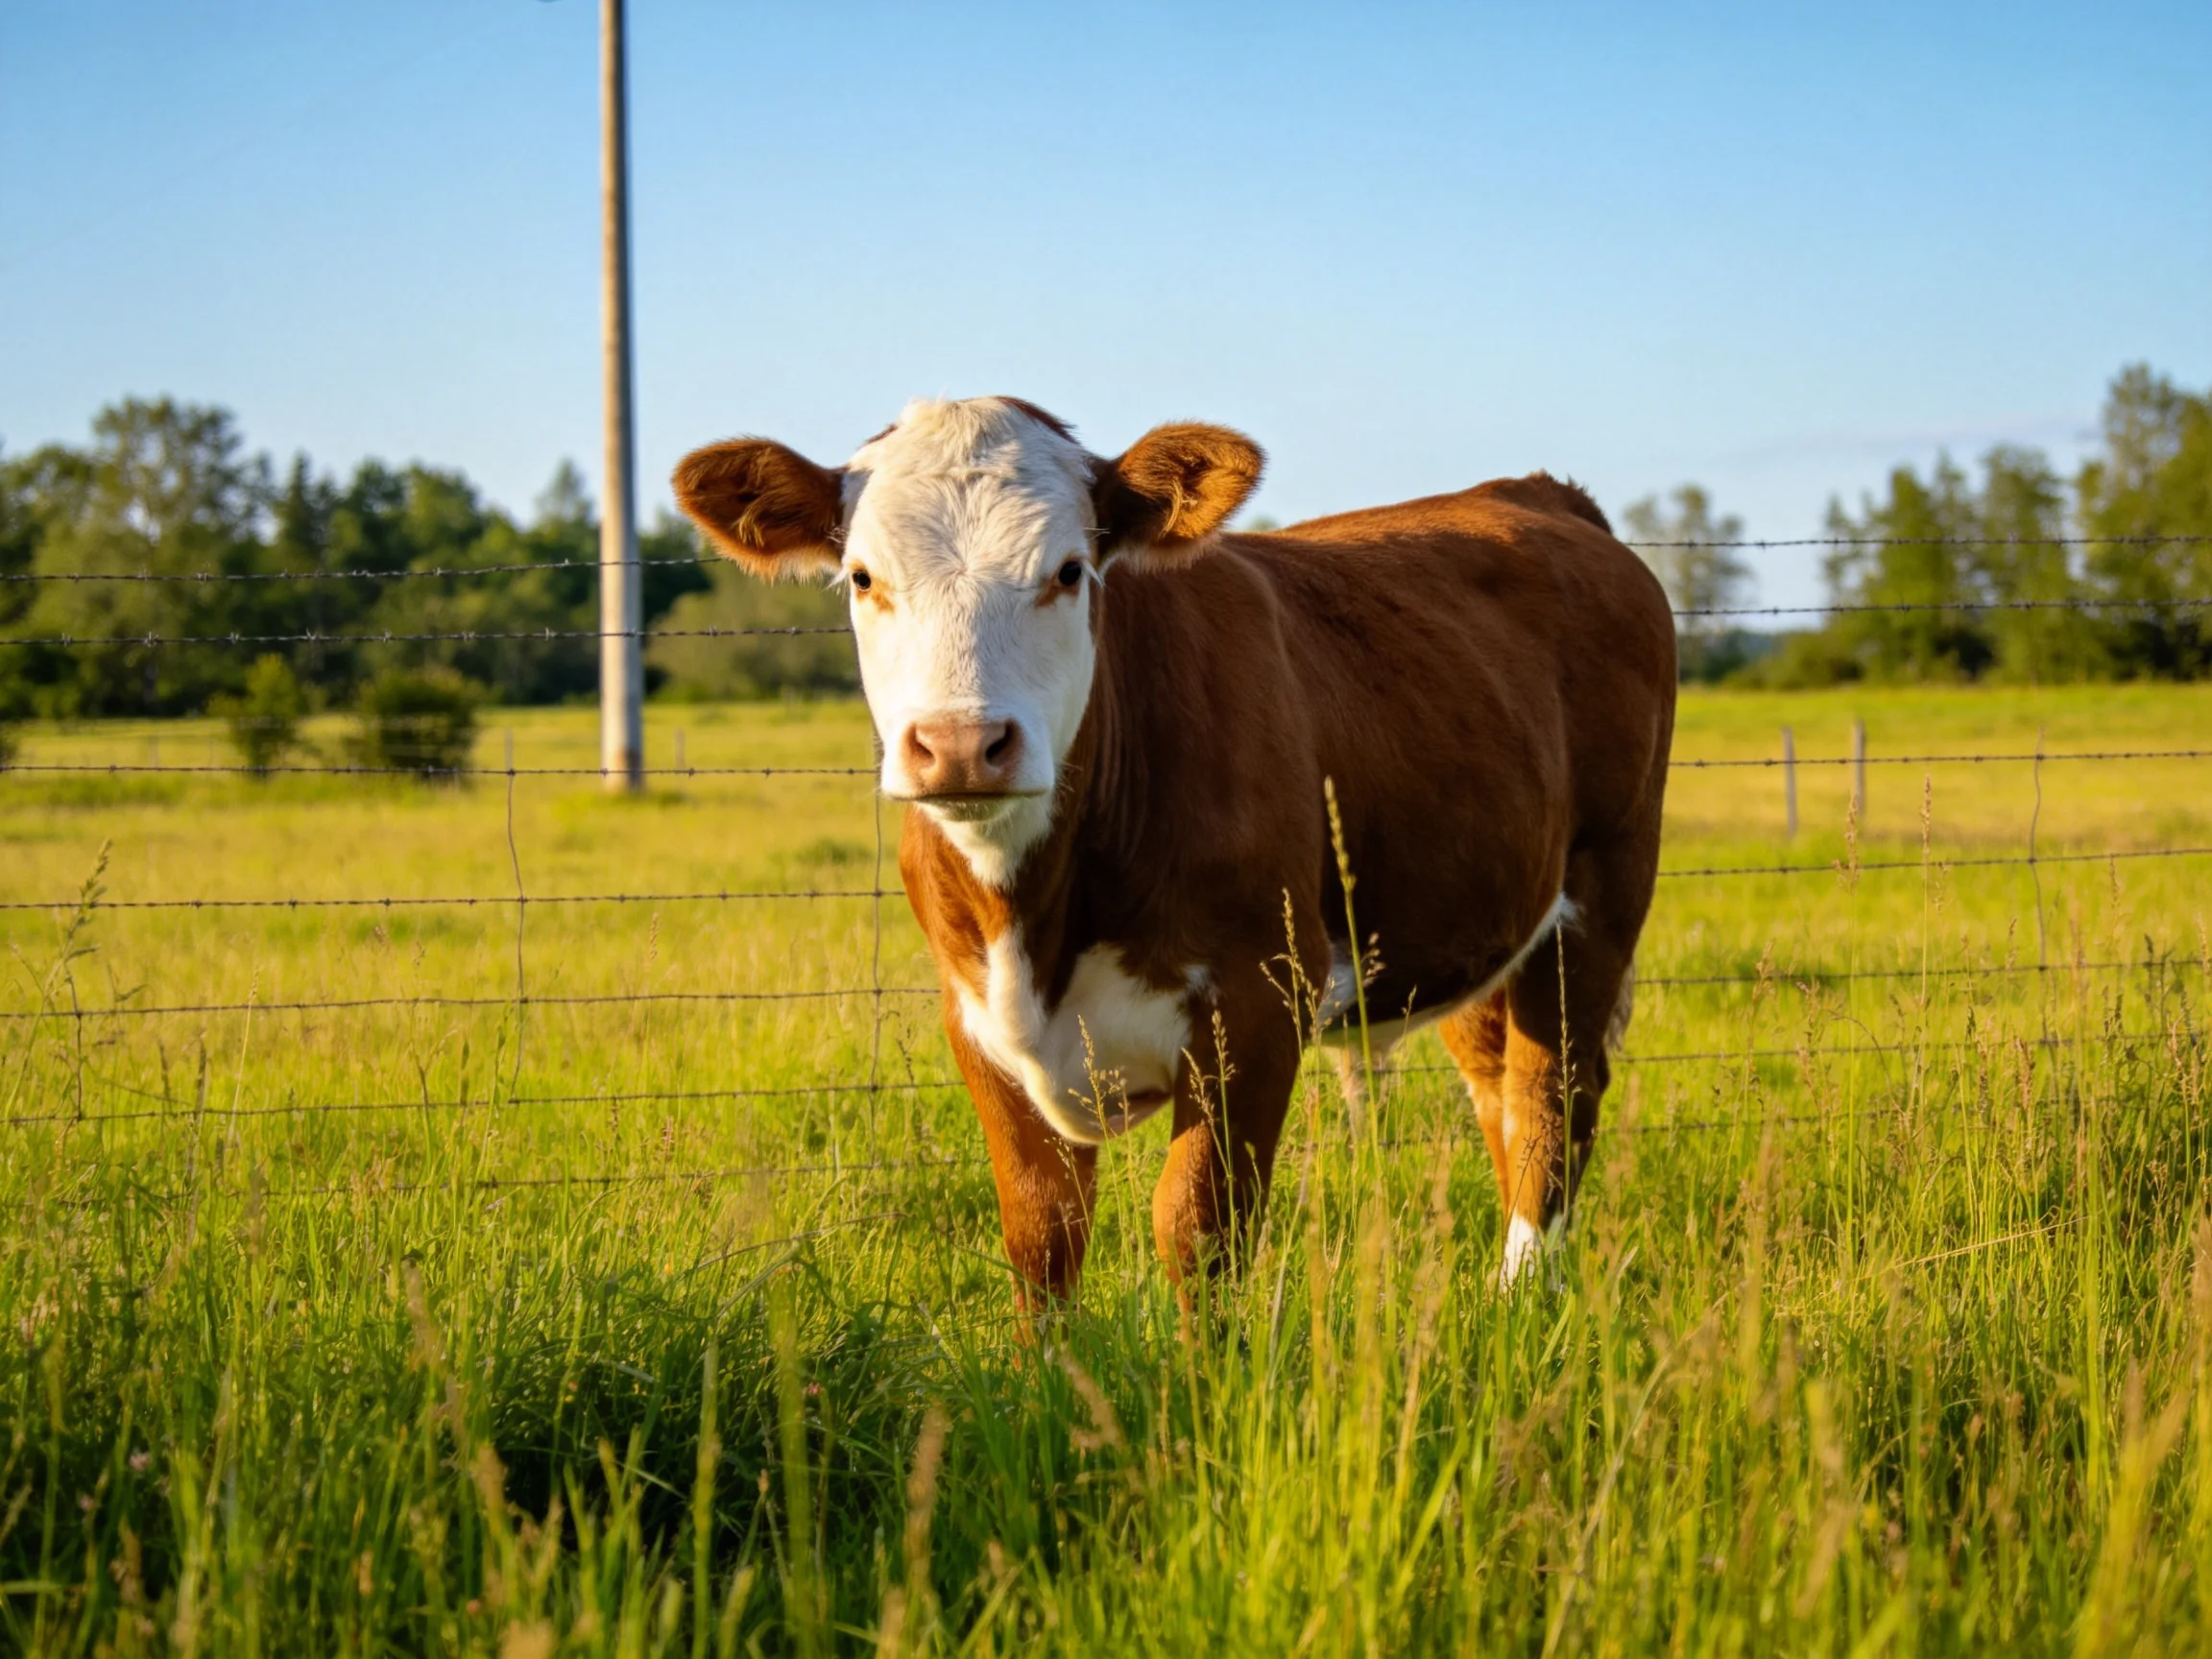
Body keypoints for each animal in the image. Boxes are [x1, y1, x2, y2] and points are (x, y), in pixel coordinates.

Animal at [673, 397, 1675, 1307]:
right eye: (861, 577)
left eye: (1070, 571)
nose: (960, 745)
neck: (1035, 921)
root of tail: (1537, 493)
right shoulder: (975, 1017)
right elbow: (1041, 1231)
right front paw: (1049, 1382)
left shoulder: (1260, 1002)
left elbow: (1199, 1227)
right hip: (1477, 914)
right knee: (1498, 1087)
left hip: (1603, 886)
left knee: (1553, 1094)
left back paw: (1524, 1296)